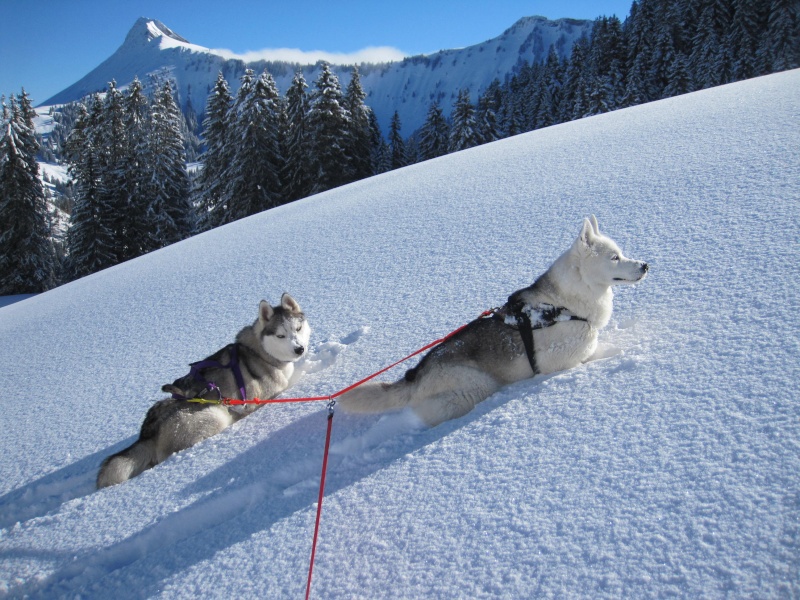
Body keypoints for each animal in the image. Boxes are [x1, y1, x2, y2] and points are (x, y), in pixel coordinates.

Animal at [97, 294, 310, 488]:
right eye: (280, 335)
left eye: (297, 329)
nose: (299, 349)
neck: (259, 352)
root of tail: (148, 432)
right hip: (213, 416)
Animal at [340, 217, 648, 426]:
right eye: (614, 257)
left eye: (621, 253)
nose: (645, 265)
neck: (565, 303)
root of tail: (416, 374)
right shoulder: (563, 360)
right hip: (475, 387)